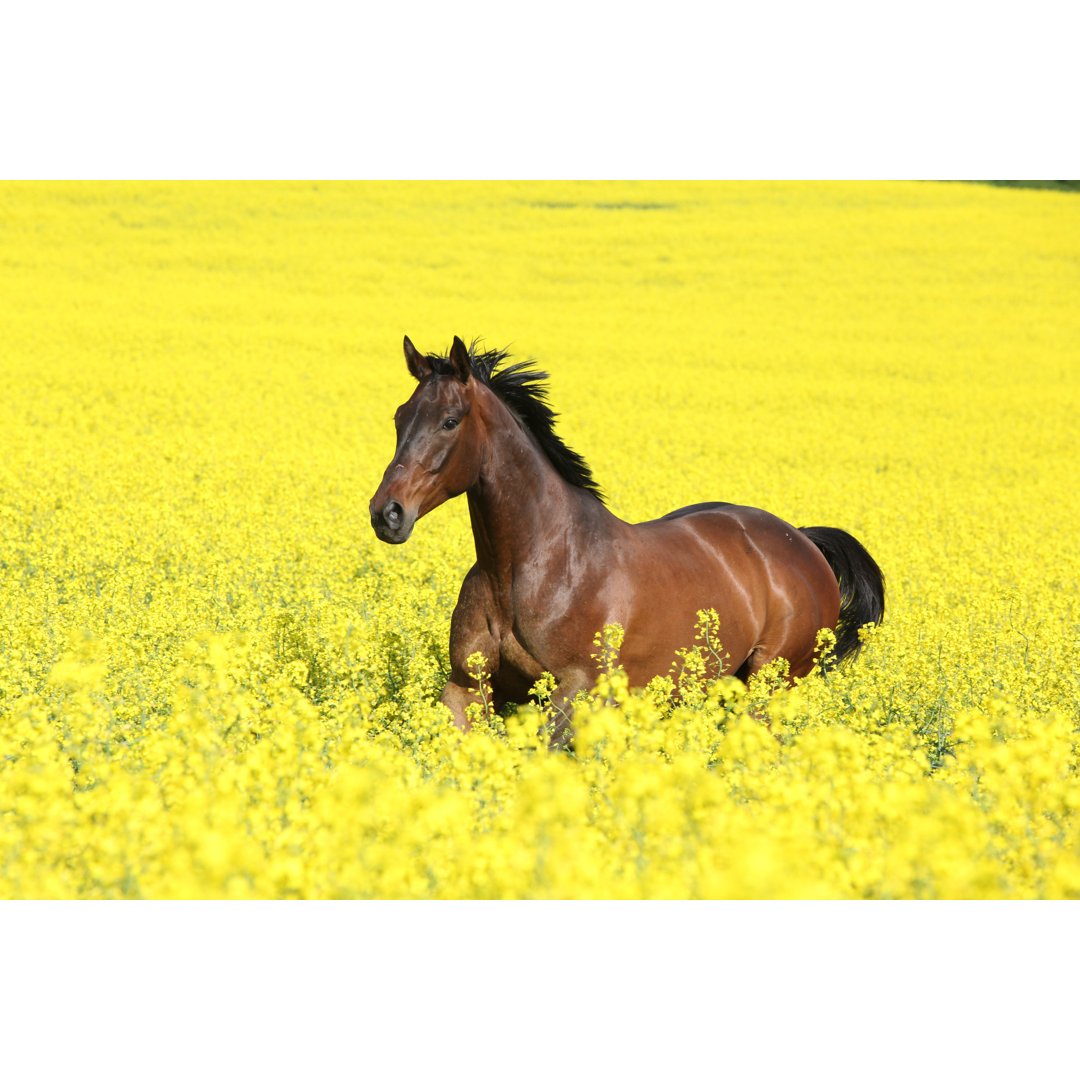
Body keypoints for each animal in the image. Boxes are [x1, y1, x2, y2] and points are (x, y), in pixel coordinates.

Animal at [370, 335, 885, 745]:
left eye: (450, 421)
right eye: (399, 417)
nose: (387, 513)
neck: (527, 568)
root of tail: (802, 541)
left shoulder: (579, 690)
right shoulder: (466, 687)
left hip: (770, 683)